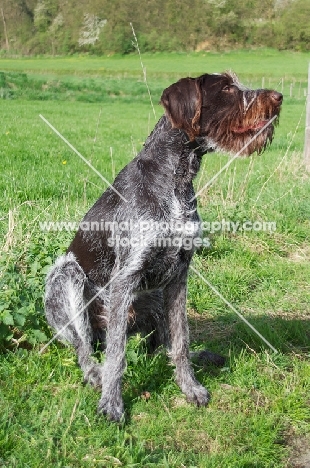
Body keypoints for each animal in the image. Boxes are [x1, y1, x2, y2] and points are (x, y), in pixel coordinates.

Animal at [44, 71, 284, 422]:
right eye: (227, 88)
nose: (279, 97)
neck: (177, 180)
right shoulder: (125, 278)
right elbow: (117, 354)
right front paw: (112, 404)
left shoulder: (179, 275)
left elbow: (180, 340)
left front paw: (190, 387)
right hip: (67, 275)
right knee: (85, 346)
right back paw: (94, 374)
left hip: (154, 297)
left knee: (158, 346)